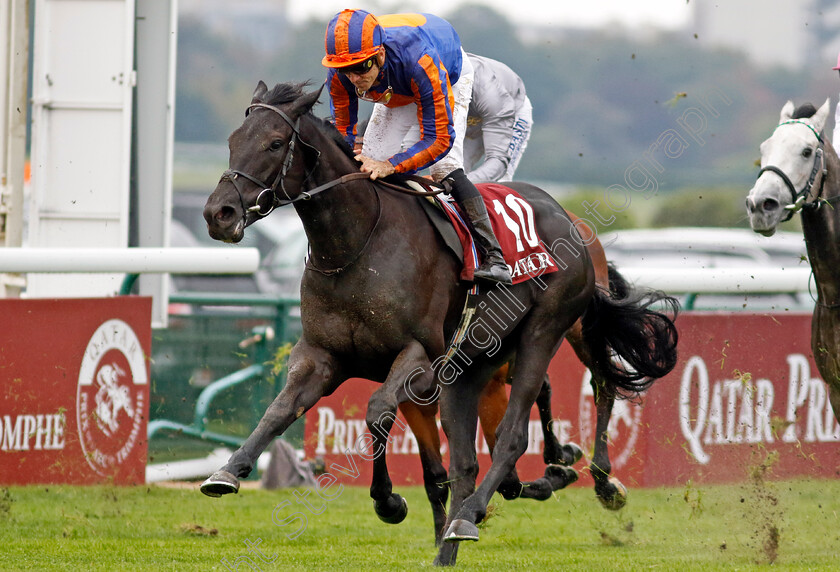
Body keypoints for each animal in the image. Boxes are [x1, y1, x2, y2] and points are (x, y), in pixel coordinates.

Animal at [205, 81, 684, 568]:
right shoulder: (322, 355)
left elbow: (378, 411)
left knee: (552, 412)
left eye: (274, 143)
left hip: (549, 331)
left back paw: (529, 500)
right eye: (232, 140)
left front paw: (389, 501)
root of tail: (568, 218)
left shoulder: (420, 358)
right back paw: (458, 537)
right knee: (469, 461)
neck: (357, 245)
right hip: (474, 365)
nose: (218, 213)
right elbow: (280, 411)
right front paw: (228, 471)